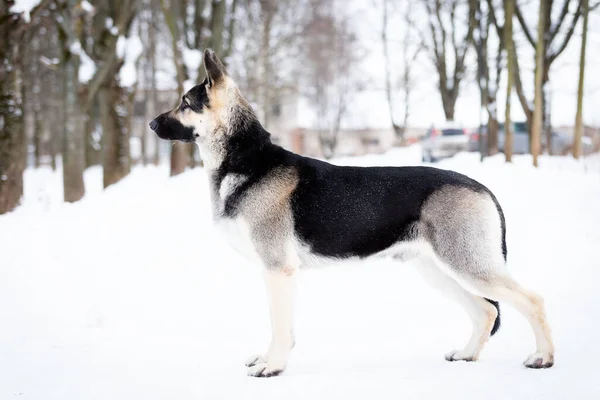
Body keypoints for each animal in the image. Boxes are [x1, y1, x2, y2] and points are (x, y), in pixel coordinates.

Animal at [150, 49, 552, 378]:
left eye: (185, 102)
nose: (152, 124)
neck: (245, 160)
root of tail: (482, 187)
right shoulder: (276, 274)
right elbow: (279, 325)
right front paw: (269, 360)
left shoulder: (278, 271)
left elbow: (280, 327)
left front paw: (273, 367)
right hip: (439, 270)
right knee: (486, 311)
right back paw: (468, 355)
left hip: (467, 265)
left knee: (532, 301)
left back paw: (543, 358)